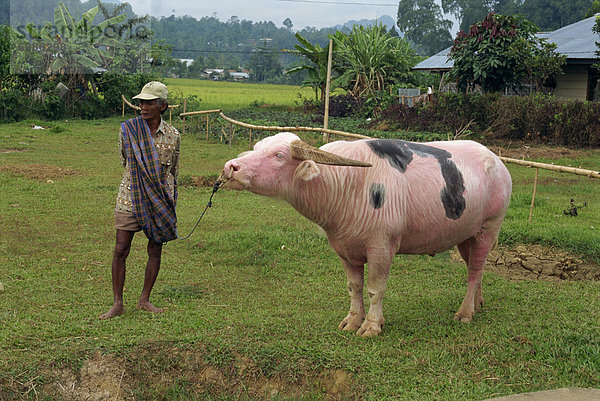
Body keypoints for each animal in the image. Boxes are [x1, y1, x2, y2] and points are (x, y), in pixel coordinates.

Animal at [221, 133, 510, 336]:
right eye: (256, 149)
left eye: (279, 155)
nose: (230, 167)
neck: (344, 184)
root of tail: (498, 164)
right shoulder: (343, 249)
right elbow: (354, 287)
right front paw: (352, 320)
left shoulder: (382, 247)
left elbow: (375, 289)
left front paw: (371, 325)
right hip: (466, 235)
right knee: (475, 267)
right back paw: (478, 303)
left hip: (488, 228)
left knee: (474, 270)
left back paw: (465, 312)